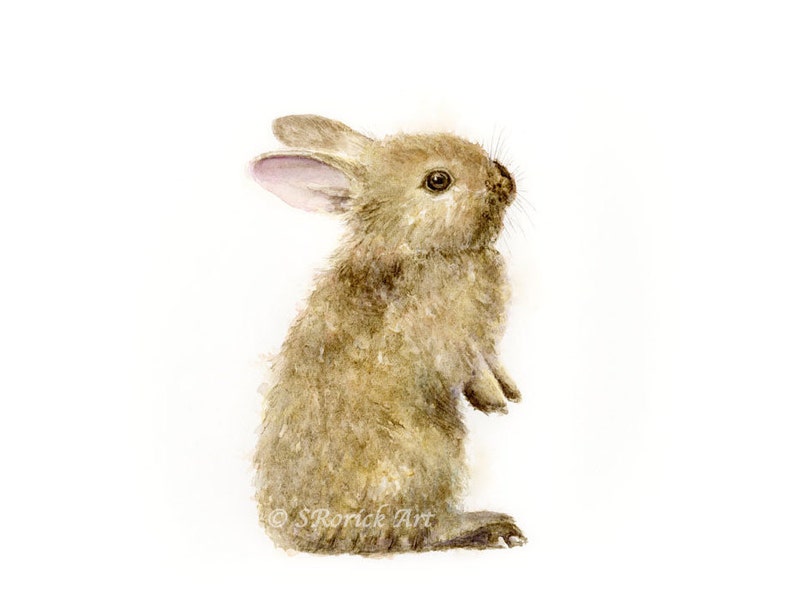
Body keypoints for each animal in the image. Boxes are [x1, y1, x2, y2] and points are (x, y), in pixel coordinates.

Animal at [250, 115, 525, 554]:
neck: (416, 246)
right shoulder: (453, 342)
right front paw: (495, 401)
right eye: (437, 181)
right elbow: (471, 366)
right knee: (418, 531)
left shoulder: (483, 346)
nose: (504, 180)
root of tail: (303, 535)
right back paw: (490, 527)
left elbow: (492, 362)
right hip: (429, 455)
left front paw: (510, 393)